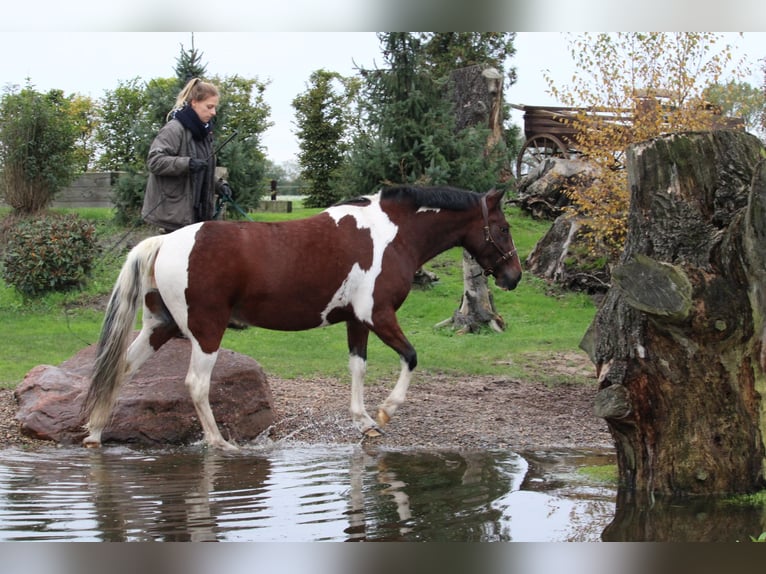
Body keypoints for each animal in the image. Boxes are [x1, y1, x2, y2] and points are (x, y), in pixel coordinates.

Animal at [82, 185, 522, 450]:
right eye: (502, 228)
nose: (514, 276)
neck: (391, 235)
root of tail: (166, 242)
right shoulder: (378, 315)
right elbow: (411, 357)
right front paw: (385, 411)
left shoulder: (357, 321)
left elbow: (358, 368)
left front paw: (364, 421)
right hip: (206, 332)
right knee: (196, 385)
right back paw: (219, 444)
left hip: (160, 327)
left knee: (118, 369)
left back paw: (95, 433)